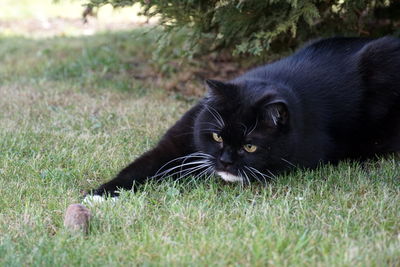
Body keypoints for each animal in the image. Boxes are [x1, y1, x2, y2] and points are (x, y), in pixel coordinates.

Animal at [87, 36, 400, 198]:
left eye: (250, 146)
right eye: (216, 135)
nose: (226, 161)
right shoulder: (179, 139)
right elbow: (144, 164)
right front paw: (99, 194)